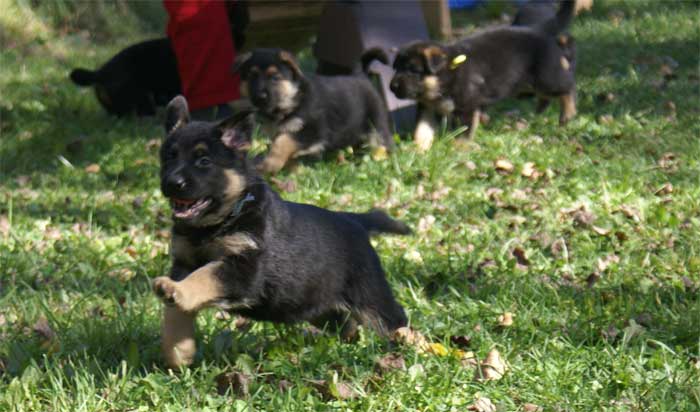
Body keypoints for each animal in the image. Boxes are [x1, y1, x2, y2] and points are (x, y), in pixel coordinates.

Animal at [150, 96, 408, 366]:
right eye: (169, 157)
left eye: (204, 161)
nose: (171, 183)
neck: (219, 222)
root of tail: (354, 220)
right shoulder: (184, 263)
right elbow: (175, 314)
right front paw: (178, 354)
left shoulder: (242, 268)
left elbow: (205, 276)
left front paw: (177, 292)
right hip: (316, 304)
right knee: (346, 324)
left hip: (369, 295)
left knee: (393, 318)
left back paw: (408, 343)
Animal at [231, 48, 392, 174]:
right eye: (251, 76)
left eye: (275, 77)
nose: (260, 97)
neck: (293, 99)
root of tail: (361, 76)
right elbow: (287, 150)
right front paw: (294, 172)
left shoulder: (313, 130)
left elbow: (283, 141)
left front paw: (271, 164)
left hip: (377, 128)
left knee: (382, 144)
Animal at [392, 0, 576, 150]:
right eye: (395, 68)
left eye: (413, 70)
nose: (392, 86)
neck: (447, 74)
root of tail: (538, 30)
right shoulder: (427, 108)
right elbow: (422, 130)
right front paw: (418, 149)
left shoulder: (466, 108)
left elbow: (464, 130)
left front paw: (458, 147)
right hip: (528, 85)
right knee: (547, 96)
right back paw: (539, 112)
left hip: (545, 78)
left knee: (567, 87)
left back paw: (568, 114)